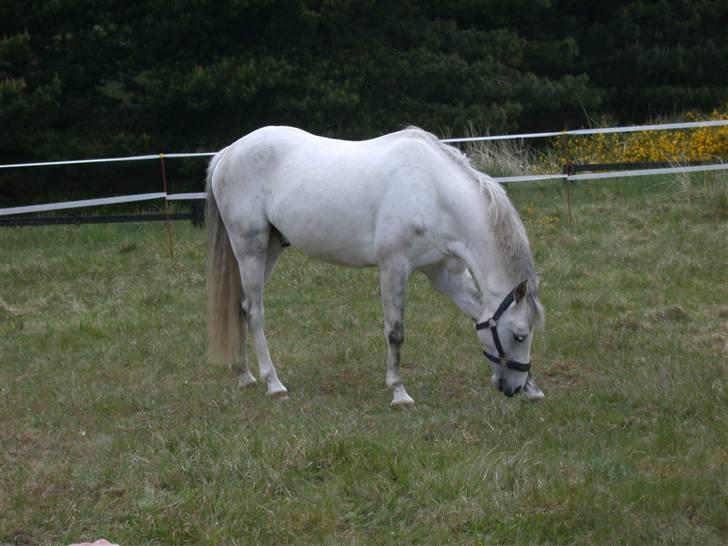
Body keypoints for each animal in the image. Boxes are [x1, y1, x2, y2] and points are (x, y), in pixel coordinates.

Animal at [206, 126, 545, 407]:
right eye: (518, 335)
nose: (513, 388)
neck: (433, 192)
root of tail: (228, 152)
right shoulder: (393, 267)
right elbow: (395, 332)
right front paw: (399, 392)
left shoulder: (446, 275)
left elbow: (477, 315)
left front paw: (533, 389)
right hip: (250, 247)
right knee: (255, 312)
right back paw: (273, 383)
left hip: (271, 248)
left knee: (241, 306)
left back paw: (244, 375)